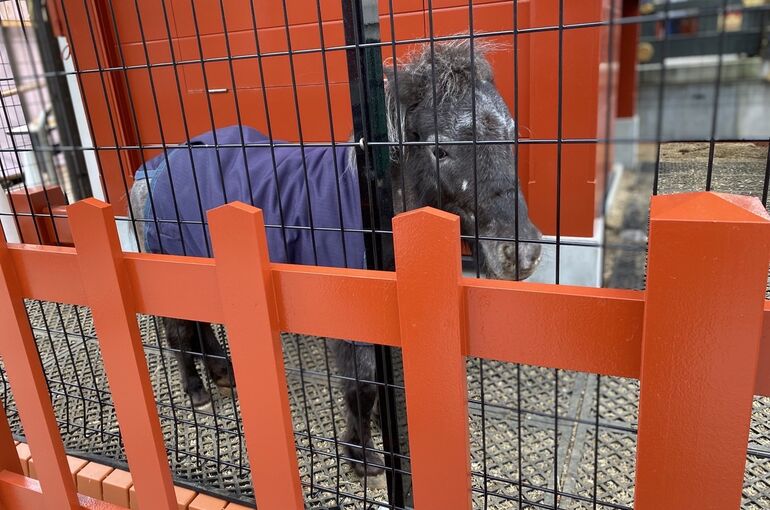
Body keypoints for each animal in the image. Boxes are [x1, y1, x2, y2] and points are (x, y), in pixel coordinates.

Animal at [128, 38, 542, 482]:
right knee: (178, 332)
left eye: (512, 135)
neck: (371, 212)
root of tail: (152, 170)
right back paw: (198, 392)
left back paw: (223, 373)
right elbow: (362, 386)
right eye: (440, 149)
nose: (523, 253)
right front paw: (363, 458)